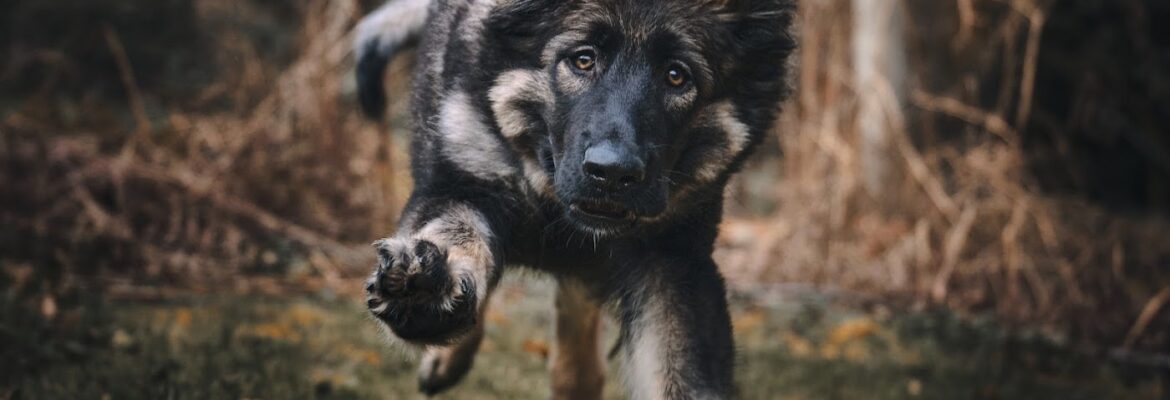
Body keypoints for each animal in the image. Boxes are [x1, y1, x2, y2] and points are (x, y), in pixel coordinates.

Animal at [353, 0, 795, 397]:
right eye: (583, 60)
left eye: (676, 75)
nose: (611, 173)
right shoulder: (458, 184)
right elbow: (456, 231)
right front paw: (428, 289)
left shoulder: (671, 261)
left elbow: (679, 370)